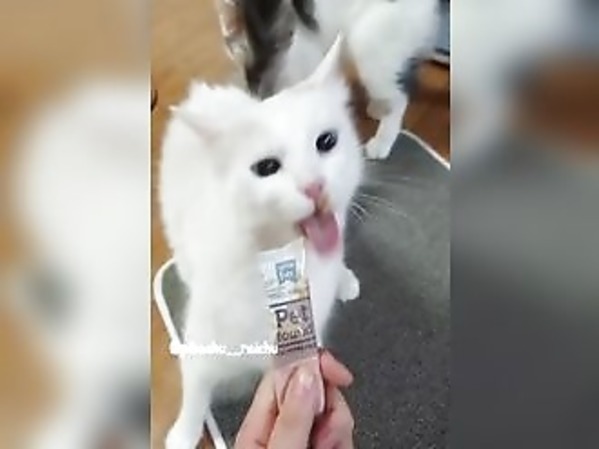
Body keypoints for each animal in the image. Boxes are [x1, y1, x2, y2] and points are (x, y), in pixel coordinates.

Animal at [160, 39, 363, 449]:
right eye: (266, 167)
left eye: (326, 142)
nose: (315, 186)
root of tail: (205, 95)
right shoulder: (205, 346)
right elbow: (195, 392)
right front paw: (184, 434)